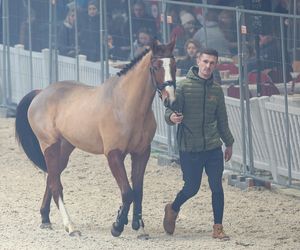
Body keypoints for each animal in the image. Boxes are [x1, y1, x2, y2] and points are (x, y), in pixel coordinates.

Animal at [14, 39, 176, 238]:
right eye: (155, 66)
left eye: (174, 65)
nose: (170, 100)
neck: (126, 106)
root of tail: (40, 93)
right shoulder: (113, 154)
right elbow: (128, 192)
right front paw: (117, 226)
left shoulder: (142, 153)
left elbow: (138, 191)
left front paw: (140, 227)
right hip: (49, 145)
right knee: (55, 184)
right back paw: (71, 226)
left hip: (64, 149)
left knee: (51, 178)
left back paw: (45, 219)